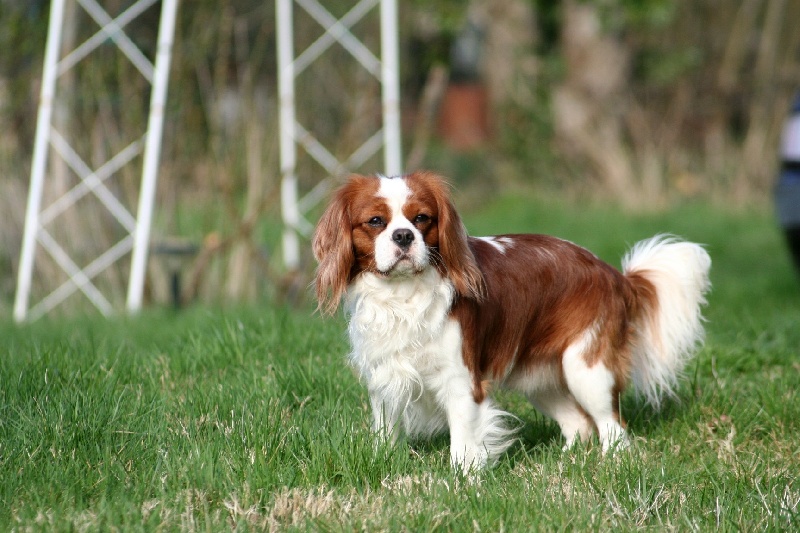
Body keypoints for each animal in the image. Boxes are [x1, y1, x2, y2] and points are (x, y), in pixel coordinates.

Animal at [312, 169, 712, 470]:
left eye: (421, 219)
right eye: (375, 221)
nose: (403, 235)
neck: (403, 295)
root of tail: (615, 274)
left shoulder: (461, 382)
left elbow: (463, 442)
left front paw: (461, 482)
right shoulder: (384, 376)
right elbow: (385, 430)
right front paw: (383, 463)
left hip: (586, 368)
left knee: (612, 428)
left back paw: (611, 464)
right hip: (539, 378)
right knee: (579, 425)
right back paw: (566, 464)